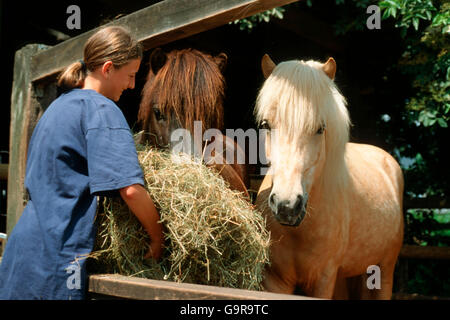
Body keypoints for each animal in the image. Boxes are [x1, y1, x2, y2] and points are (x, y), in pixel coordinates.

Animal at [253, 55, 404, 300]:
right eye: (266, 125)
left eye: (320, 129)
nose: (286, 205)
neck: (299, 232)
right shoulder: (274, 280)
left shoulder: (323, 280)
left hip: (385, 270)